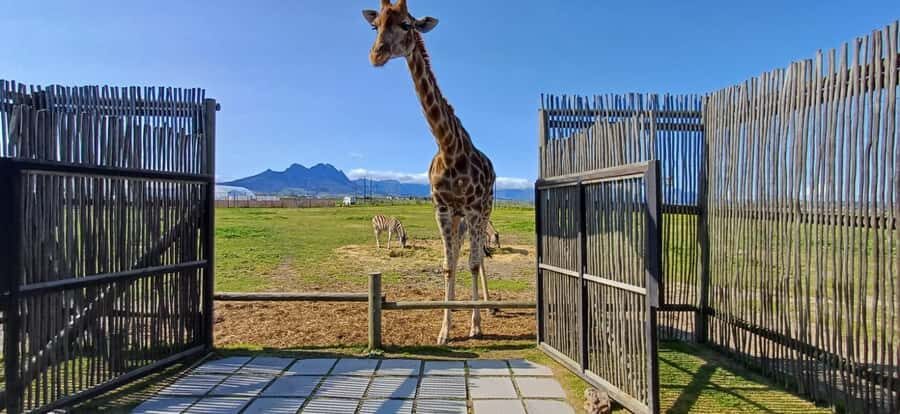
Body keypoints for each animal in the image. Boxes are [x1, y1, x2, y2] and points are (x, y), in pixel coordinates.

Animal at [362, 0, 496, 344]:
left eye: (407, 24)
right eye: (375, 25)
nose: (376, 54)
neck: (449, 147)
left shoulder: (473, 208)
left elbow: (473, 263)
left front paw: (474, 326)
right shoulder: (443, 208)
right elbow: (449, 266)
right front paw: (445, 331)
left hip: (484, 210)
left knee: (477, 258)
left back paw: (485, 310)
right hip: (460, 217)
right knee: (462, 254)